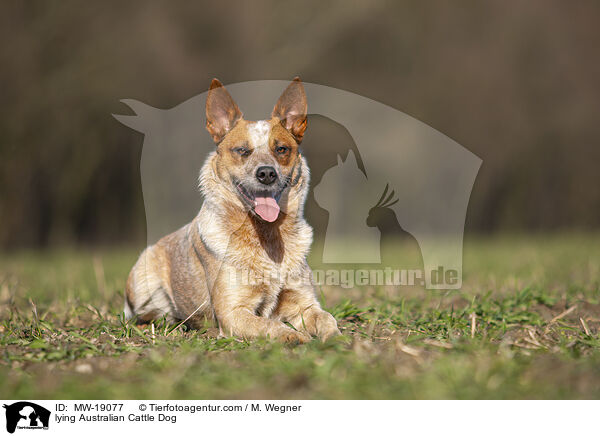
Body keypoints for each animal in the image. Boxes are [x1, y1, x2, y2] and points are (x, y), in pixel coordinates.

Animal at [124, 78, 340, 344]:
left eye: (281, 149)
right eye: (242, 150)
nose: (266, 173)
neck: (267, 236)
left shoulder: (303, 302)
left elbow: (326, 318)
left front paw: (337, 338)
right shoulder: (233, 312)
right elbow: (269, 324)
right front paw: (295, 337)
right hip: (143, 282)